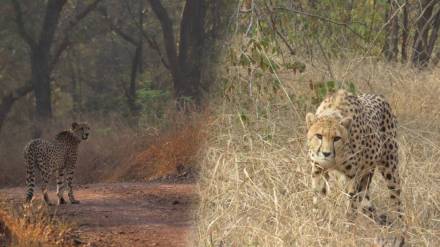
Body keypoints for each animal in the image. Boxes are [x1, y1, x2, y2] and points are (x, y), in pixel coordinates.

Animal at [306, 89, 402, 225]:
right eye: (319, 136)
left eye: (336, 138)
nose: (326, 153)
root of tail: (379, 96)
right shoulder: (318, 169)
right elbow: (317, 195)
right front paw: (317, 220)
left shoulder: (352, 175)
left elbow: (351, 202)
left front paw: (348, 223)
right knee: (365, 198)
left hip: (389, 166)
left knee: (396, 197)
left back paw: (401, 224)